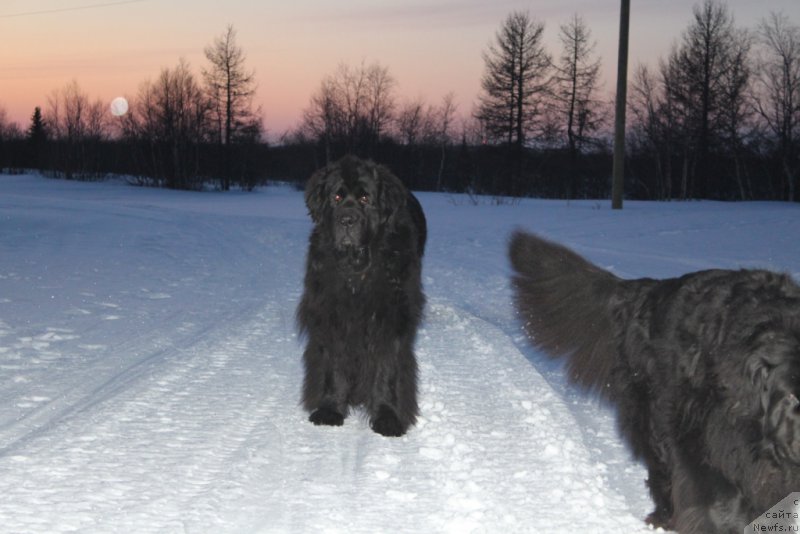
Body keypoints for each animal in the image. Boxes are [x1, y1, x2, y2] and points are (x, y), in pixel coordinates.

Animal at [296, 156, 424, 440]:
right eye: (336, 197)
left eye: (366, 198)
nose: (347, 219)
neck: (357, 271)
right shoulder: (332, 318)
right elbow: (334, 368)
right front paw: (330, 409)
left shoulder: (390, 320)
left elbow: (386, 371)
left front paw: (387, 417)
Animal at [510, 233, 796, 534]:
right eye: (789, 396)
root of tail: (650, 289)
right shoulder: (700, 431)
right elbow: (713, 494)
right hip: (654, 411)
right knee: (663, 468)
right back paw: (663, 516)